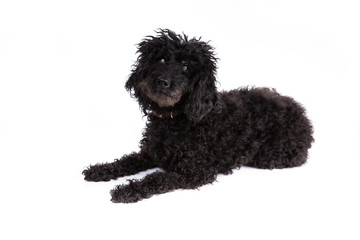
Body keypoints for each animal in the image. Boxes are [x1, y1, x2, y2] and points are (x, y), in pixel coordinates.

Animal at [83, 29, 314, 202]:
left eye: (186, 66)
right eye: (162, 59)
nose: (162, 82)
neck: (174, 120)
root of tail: (300, 110)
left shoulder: (194, 171)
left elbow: (156, 179)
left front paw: (126, 190)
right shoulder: (150, 153)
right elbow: (125, 161)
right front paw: (100, 170)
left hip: (272, 154)